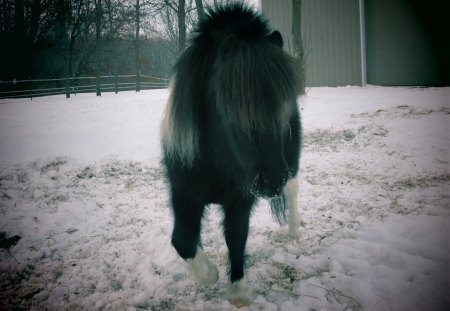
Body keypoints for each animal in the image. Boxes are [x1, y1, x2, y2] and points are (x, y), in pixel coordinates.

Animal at [162, 2, 302, 304]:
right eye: (230, 109)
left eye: (282, 110)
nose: (271, 181)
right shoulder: (183, 193)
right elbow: (182, 240)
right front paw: (209, 273)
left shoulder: (241, 198)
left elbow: (236, 237)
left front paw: (237, 289)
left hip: (291, 164)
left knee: (294, 189)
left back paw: (295, 230)